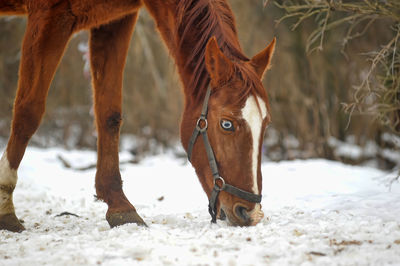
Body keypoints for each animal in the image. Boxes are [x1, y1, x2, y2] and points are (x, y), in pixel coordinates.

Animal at [0, 0, 276, 233]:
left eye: (265, 124)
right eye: (226, 124)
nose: (250, 213)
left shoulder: (114, 23)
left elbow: (109, 113)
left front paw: (119, 206)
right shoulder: (49, 17)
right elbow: (28, 111)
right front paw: (5, 207)